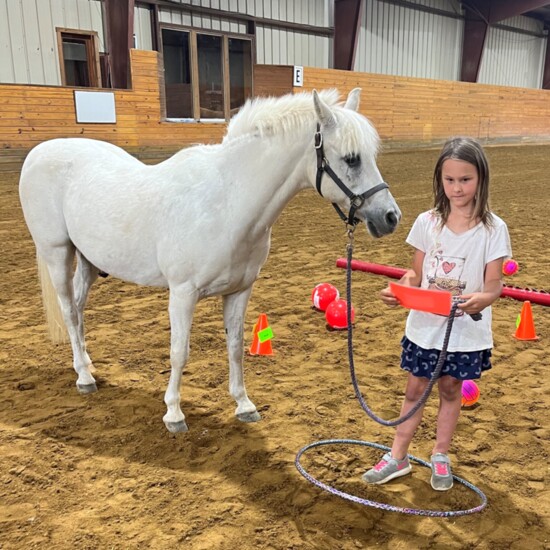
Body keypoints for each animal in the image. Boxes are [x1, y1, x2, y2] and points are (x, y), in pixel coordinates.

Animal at [19, 89, 404, 436]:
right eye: (351, 159)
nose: (390, 217)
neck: (227, 202)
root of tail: (40, 152)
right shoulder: (182, 294)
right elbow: (179, 352)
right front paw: (174, 414)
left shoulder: (239, 291)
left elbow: (235, 348)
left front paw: (244, 405)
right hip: (57, 252)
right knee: (69, 311)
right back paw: (84, 378)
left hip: (88, 260)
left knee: (79, 309)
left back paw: (86, 364)